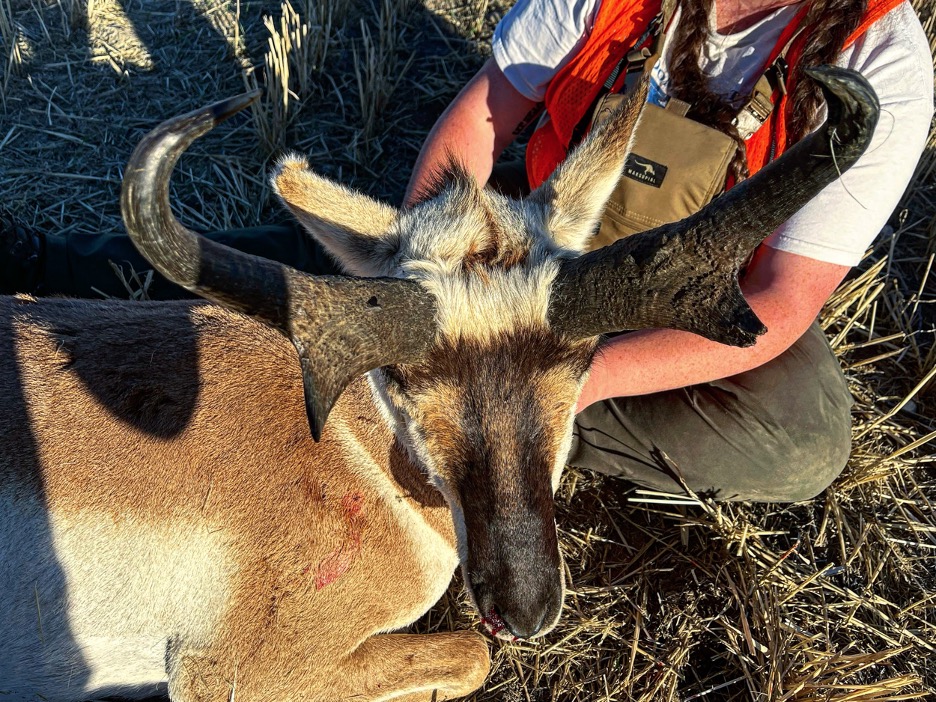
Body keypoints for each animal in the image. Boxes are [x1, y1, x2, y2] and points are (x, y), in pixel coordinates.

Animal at [1, 67, 876, 702]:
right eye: (405, 374)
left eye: (579, 358)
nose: (526, 606)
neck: (352, 447)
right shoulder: (236, 677)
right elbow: (469, 658)